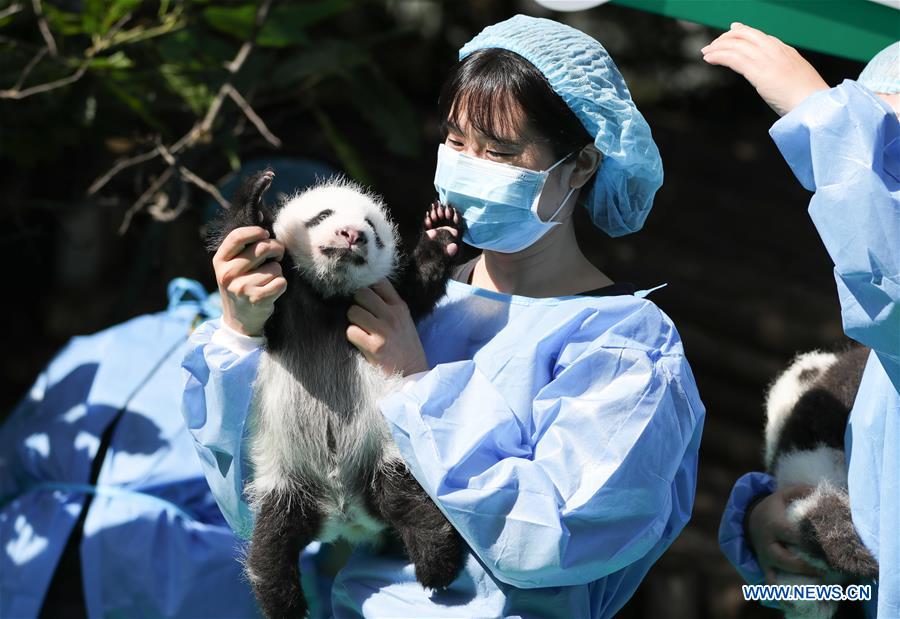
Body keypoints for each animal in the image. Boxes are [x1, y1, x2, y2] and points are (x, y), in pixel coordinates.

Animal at [210, 170, 465, 618]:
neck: (327, 297)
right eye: (323, 215)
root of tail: (345, 515)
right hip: (286, 482)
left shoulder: (384, 295)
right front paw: (256, 192)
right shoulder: (284, 302)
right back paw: (284, 601)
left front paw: (443, 232)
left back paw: (437, 565)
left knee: (411, 505)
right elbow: (246, 237)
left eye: (373, 229)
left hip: (384, 457)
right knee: (271, 546)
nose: (351, 235)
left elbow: (417, 286)